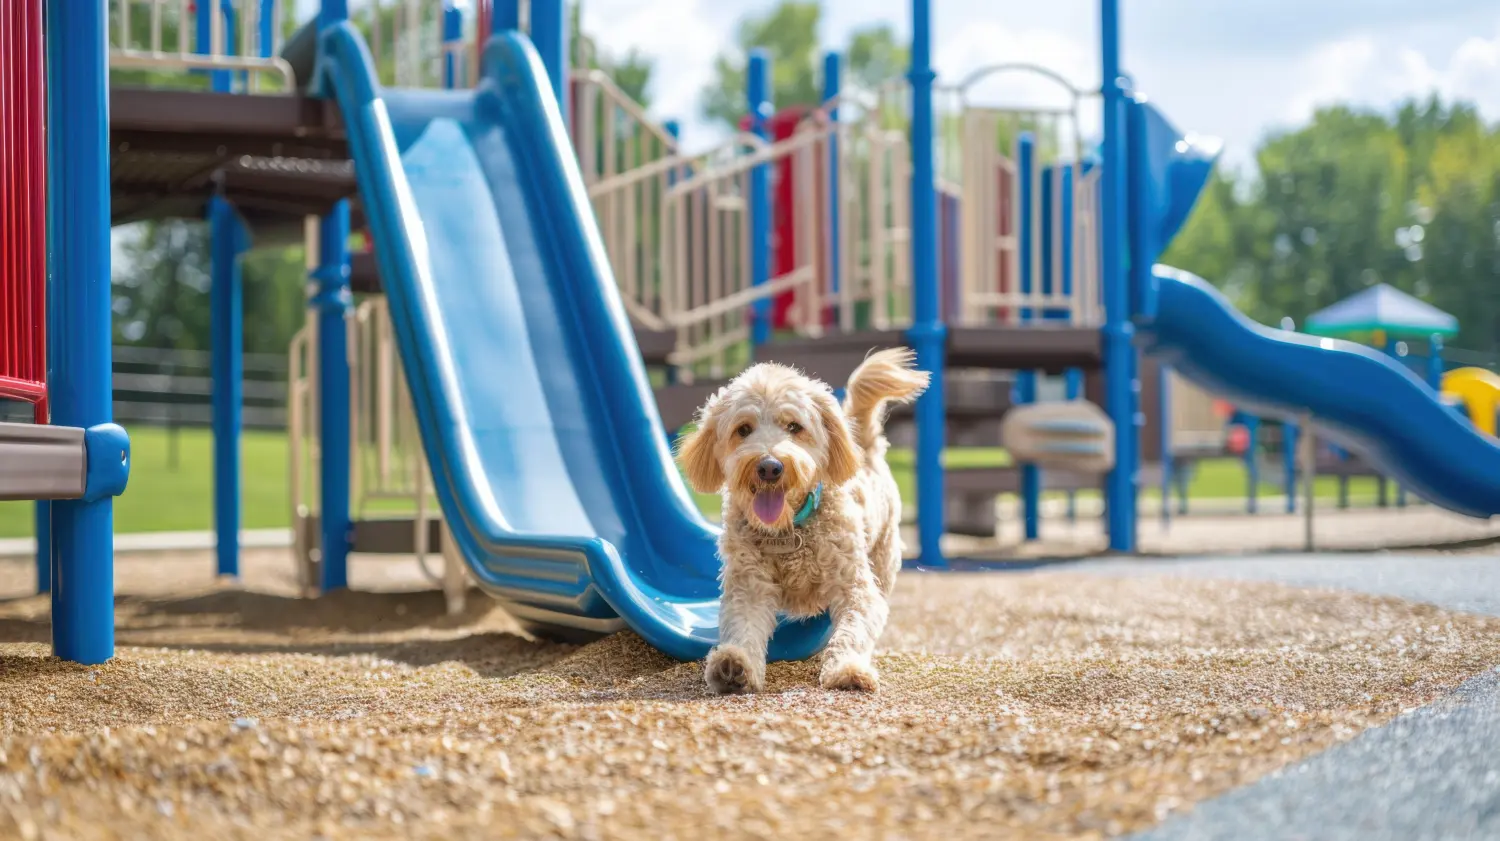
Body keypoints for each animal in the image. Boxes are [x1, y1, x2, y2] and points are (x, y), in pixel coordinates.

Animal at [678, 347, 924, 695]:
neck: (789, 528)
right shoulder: (748, 588)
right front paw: (735, 664)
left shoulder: (855, 588)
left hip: (884, 557)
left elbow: (852, 631)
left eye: (794, 427)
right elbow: (743, 628)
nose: (769, 466)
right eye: (743, 429)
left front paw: (847, 668)